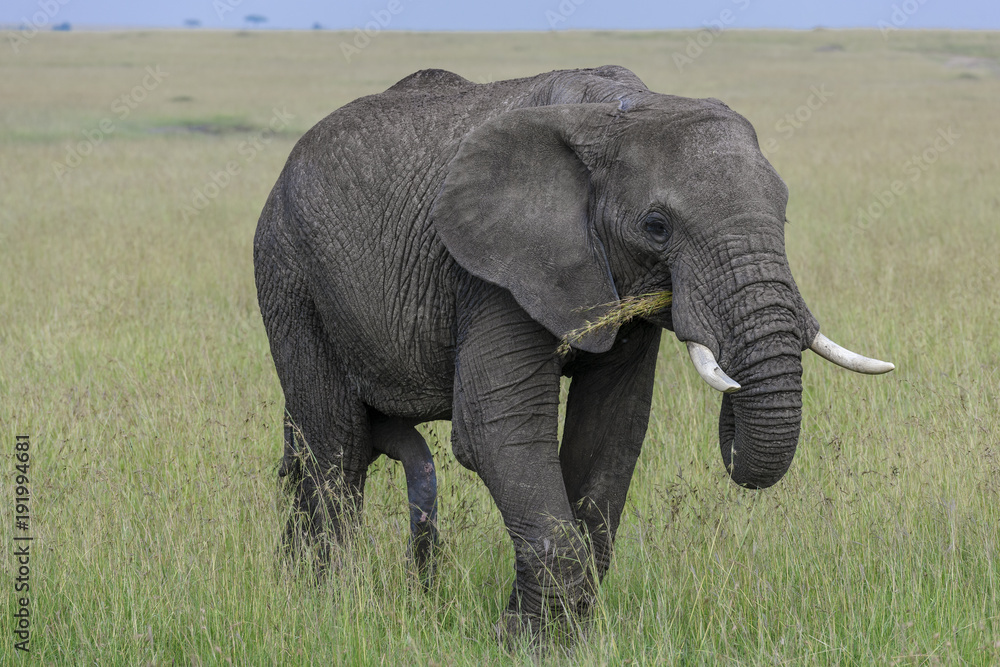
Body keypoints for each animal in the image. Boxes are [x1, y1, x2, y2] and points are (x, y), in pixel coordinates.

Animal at [253, 65, 893, 638]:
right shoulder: (495, 268)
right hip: (289, 273)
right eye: (657, 226)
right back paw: (322, 600)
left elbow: (610, 431)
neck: (622, 109)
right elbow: (497, 430)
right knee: (336, 444)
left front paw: (564, 634)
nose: (732, 386)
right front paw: (524, 641)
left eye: (785, 212)